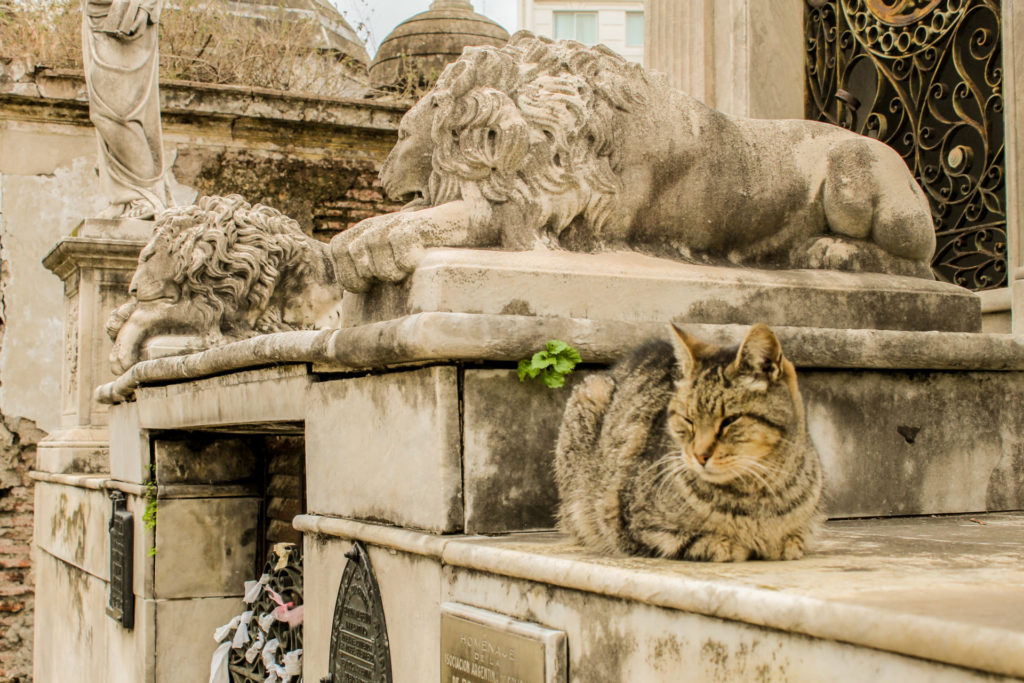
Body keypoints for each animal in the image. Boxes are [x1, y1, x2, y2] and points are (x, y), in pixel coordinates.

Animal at [552, 325, 823, 561]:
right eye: (688, 420)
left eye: (729, 420)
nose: (700, 455)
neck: (757, 495)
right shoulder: (630, 522)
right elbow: (707, 543)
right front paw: (736, 544)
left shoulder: (804, 530)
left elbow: (794, 540)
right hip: (590, 395)